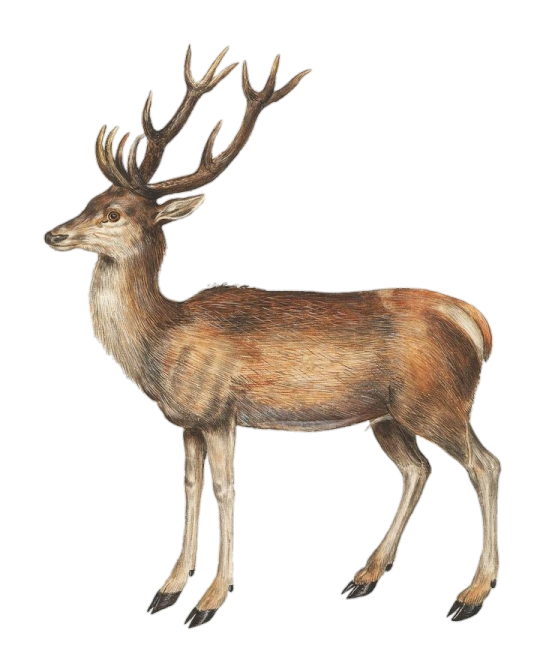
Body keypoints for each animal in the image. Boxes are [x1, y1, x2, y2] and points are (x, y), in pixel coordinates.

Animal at [44, 45, 499, 628]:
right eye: (90, 199)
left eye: (115, 212)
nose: (53, 233)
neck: (161, 342)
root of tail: (474, 323)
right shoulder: (188, 421)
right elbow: (190, 490)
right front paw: (168, 589)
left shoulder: (219, 409)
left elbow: (226, 491)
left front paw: (210, 600)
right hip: (387, 415)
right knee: (418, 469)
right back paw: (365, 576)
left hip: (438, 402)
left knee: (484, 465)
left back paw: (471, 594)